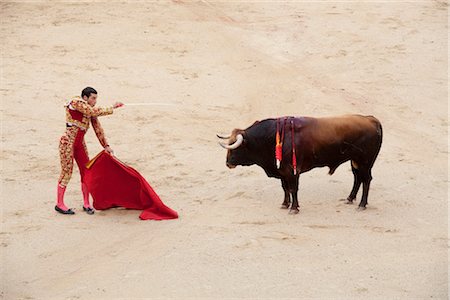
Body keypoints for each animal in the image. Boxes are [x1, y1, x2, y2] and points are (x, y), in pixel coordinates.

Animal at [218, 114, 384, 213]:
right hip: (355, 161)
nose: (228, 163)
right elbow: (285, 188)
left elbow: (293, 189)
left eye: (235, 147)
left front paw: (294, 208)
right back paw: (350, 199)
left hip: (365, 161)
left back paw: (362, 204)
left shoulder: (292, 171)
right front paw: (285, 204)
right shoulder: (282, 172)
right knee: (357, 178)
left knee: (366, 180)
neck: (269, 138)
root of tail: (371, 119)